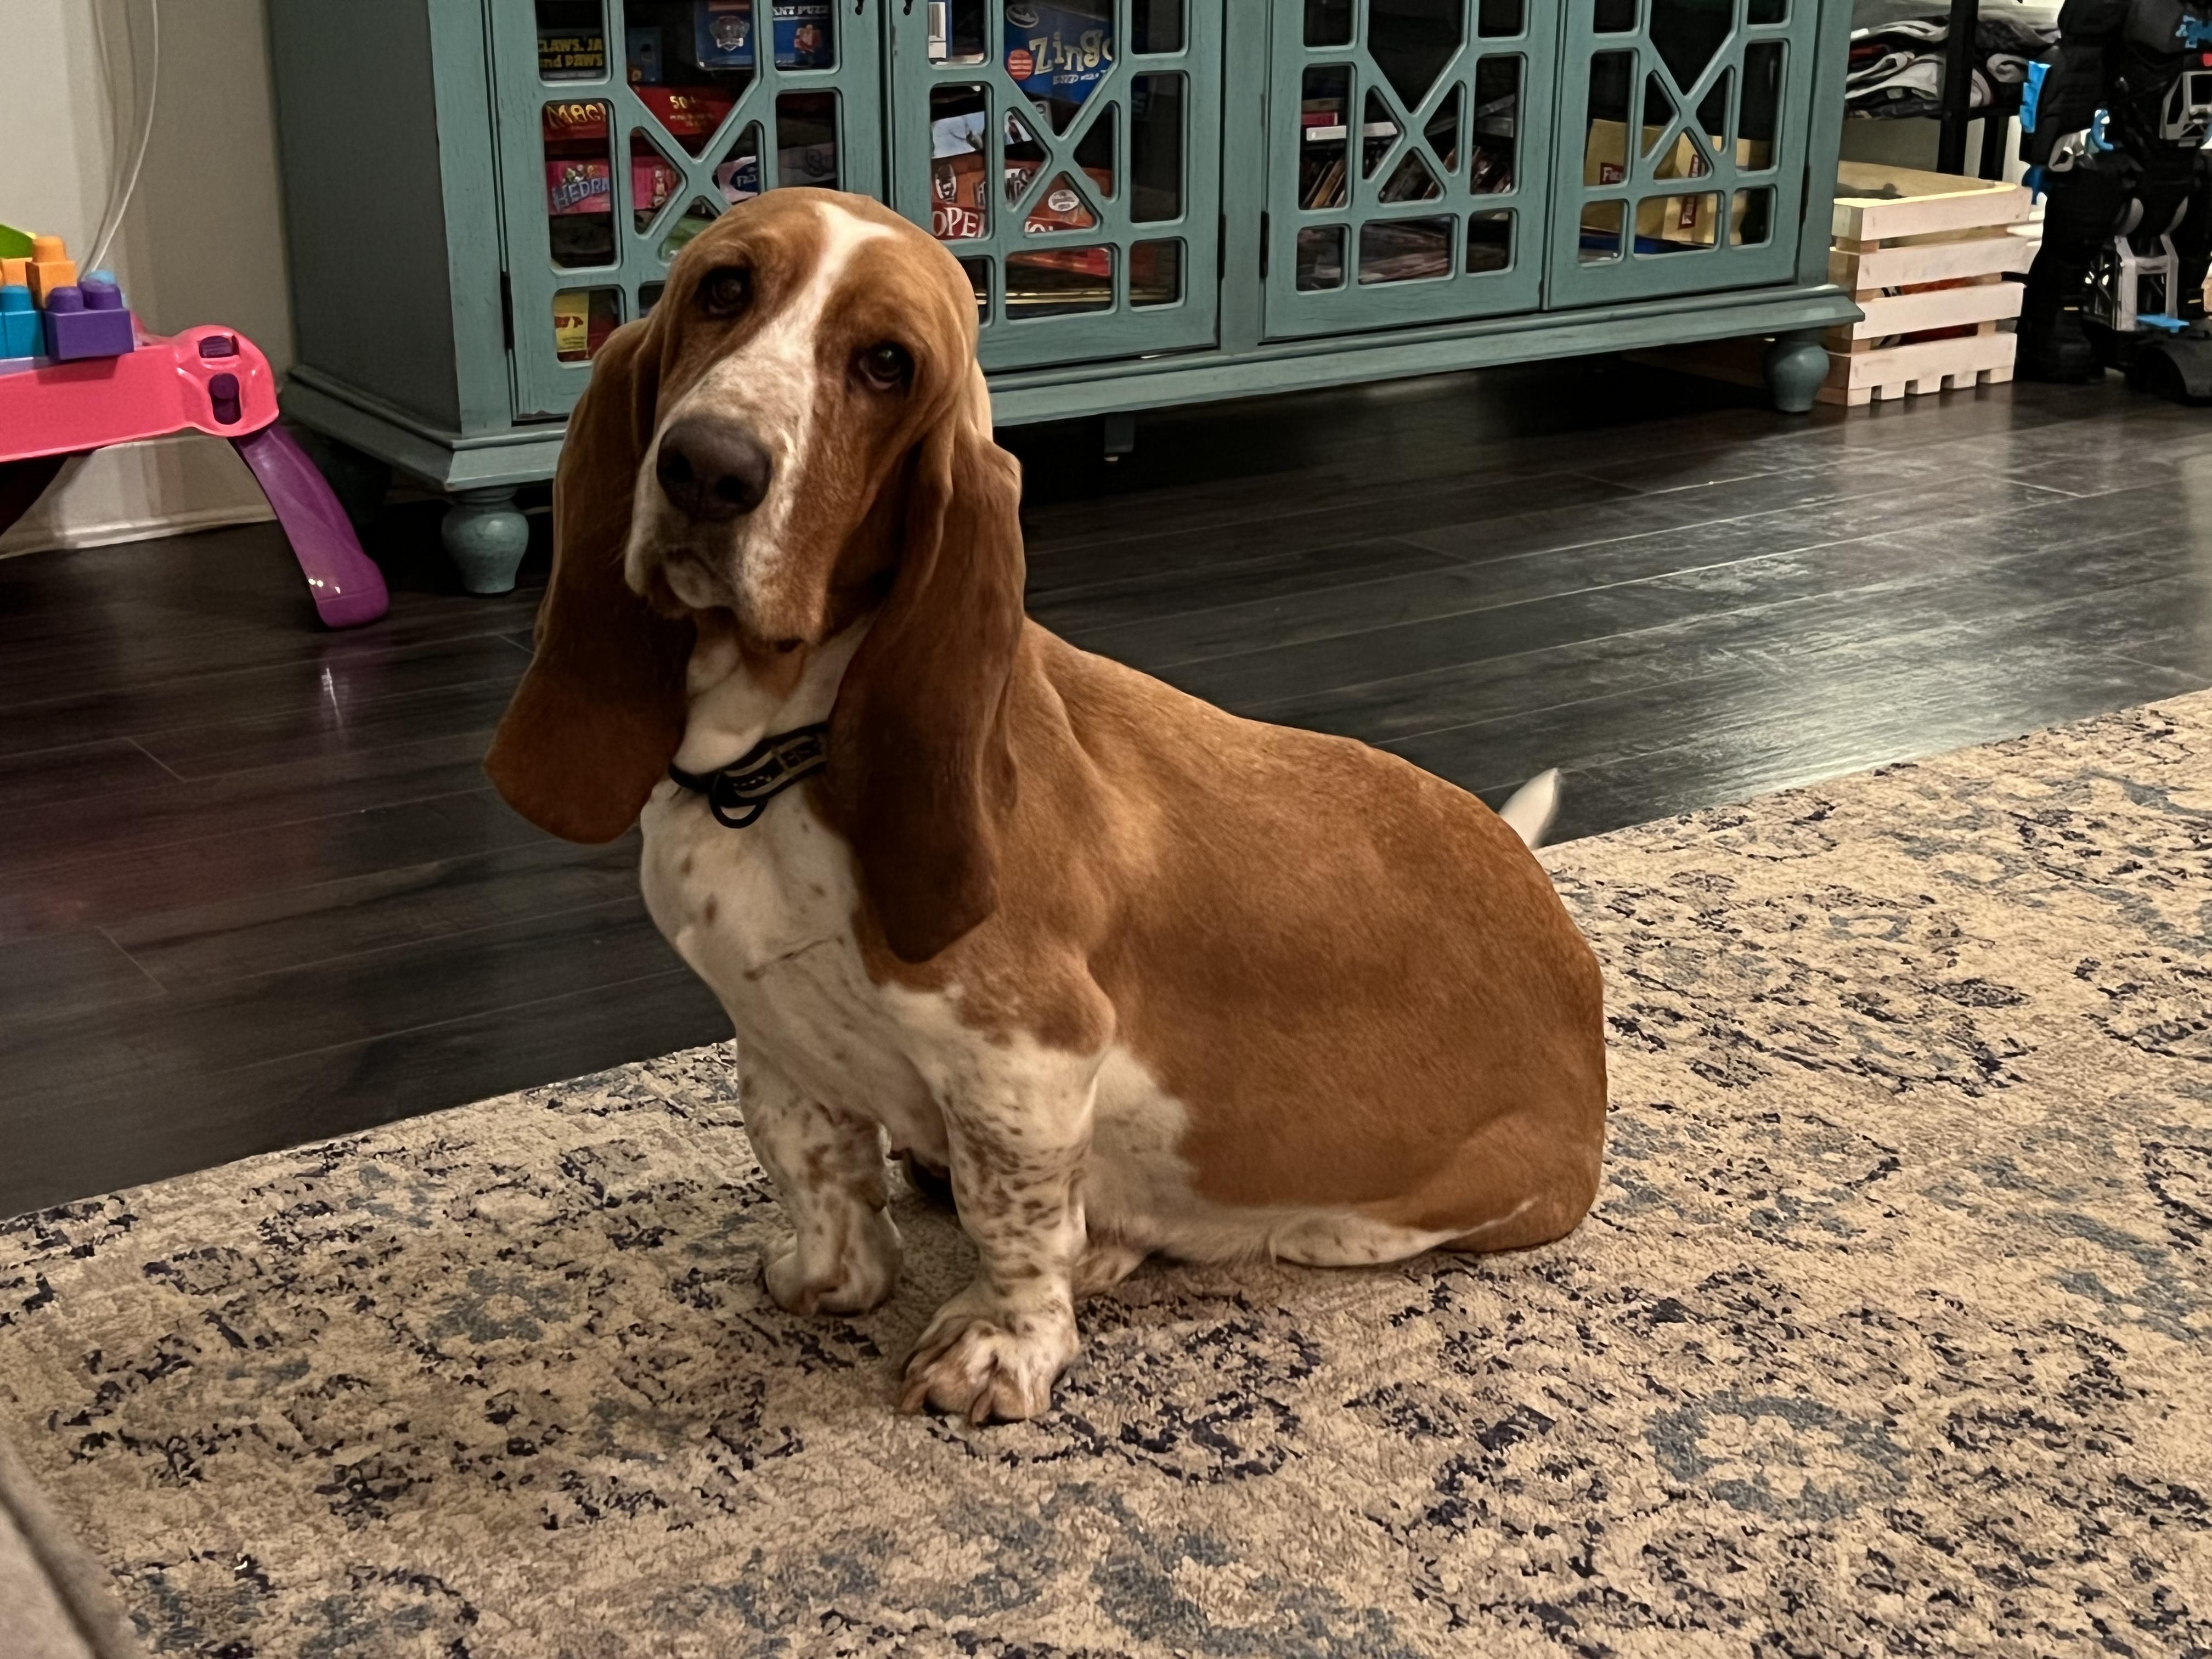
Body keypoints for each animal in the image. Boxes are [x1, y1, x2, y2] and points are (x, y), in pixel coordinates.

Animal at [487, 190, 1607, 1424]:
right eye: (722, 287)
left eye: (887, 364)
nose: (706, 468)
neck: (778, 749)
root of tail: (1569, 949)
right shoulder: (774, 1032)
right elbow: (814, 1167)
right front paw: (830, 1277)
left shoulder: (1030, 1059)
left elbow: (1011, 1221)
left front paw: (1000, 1346)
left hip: (1384, 1210)